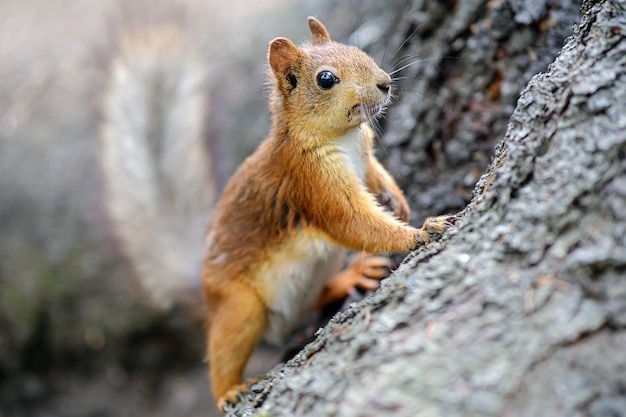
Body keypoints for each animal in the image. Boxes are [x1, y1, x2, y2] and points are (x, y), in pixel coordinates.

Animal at [204, 17, 454, 408]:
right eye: (326, 79)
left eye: (358, 50)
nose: (385, 82)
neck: (343, 136)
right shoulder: (310, 180)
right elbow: (353, 221)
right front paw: (420, 232)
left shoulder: (366, 157)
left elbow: (376, 176)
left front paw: (397, 199)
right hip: (238, 306)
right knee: (223, 352)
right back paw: (229, 391)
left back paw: (352, 277)